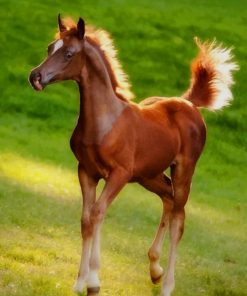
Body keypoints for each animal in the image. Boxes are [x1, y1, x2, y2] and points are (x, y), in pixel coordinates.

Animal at [29, 16, 237, 296]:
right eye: (50, 48)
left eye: (69, 53)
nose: (35, 76)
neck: (104, 122)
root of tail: (188, 103)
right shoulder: (86, 171)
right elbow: (86, 219)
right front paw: (80, 282)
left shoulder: (118, 175)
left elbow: (98, 213)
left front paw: (93, 281)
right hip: (149, 176)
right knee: (168, 199)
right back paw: (155, 269)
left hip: (183, 171)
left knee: (179, 219)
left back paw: (167, 285)